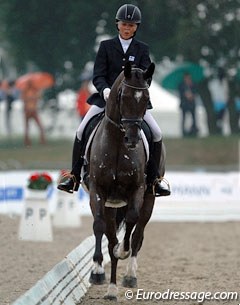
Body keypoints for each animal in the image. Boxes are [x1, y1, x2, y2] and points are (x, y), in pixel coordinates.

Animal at [84, 61, 165, 300]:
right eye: (123, 96)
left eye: (146, 98)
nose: (132, 139)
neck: (119, 144)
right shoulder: (97, 190)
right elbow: (99, 226)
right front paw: (97, 271)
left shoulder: (137, 189)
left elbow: (131, 221)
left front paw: (123, 250)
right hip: (111, 205)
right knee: (109, 234)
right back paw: (110, 287)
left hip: (149, 199)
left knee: (138, 234)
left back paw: (129, 275)